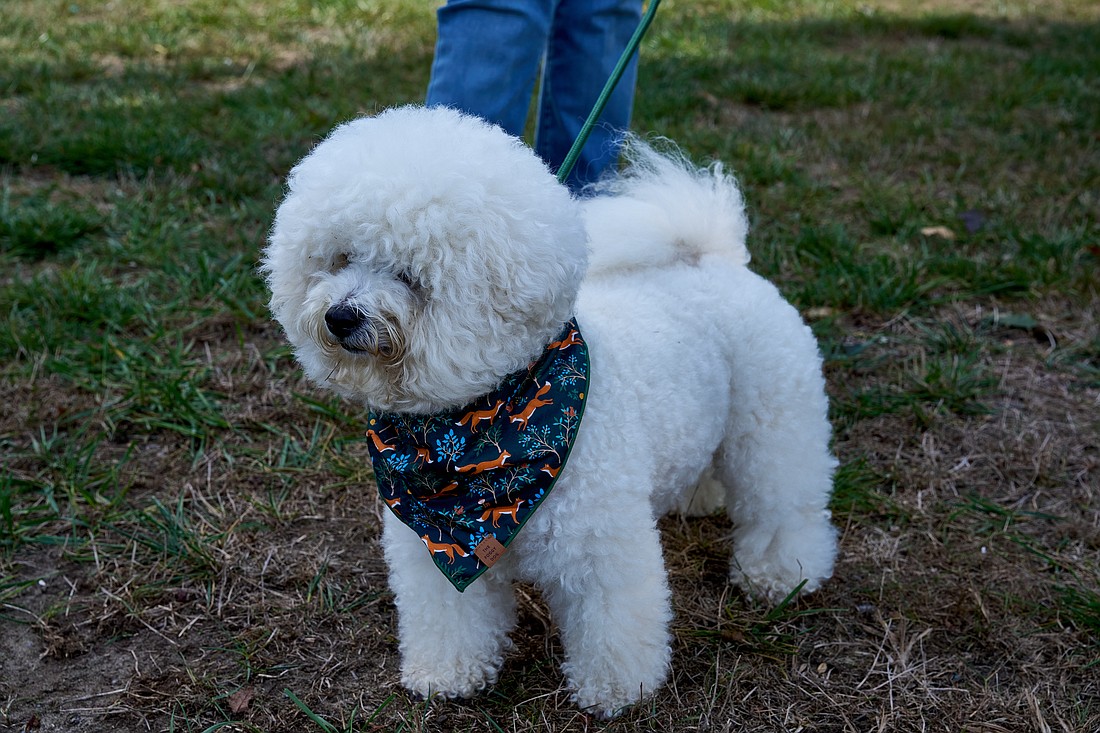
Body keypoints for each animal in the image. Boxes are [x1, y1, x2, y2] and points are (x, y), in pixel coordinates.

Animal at [264, 105, 831, 717]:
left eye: (409, 276)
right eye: (341, 260)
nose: (339, 317)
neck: (478, 430)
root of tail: (714, 257)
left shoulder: (600, 547)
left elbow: (614, 624)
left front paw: (616, 691)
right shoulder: (432, 552)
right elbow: (451, 617)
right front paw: (447, 675)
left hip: (774, 427)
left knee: (784, 506)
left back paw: (781, 575)